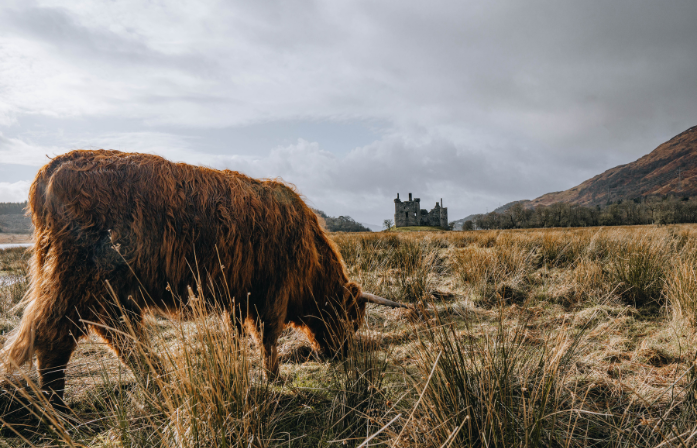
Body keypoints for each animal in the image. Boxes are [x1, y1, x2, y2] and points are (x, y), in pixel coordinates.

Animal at [1, 150, 402, 402]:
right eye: (351, 317)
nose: (344, 354)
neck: (312, 262)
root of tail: (53, 167)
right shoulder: (274, 289)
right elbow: (269, 337)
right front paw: (274, 378)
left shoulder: (240, 293)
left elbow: (239, 333)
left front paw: (240, 367)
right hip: (80, 281)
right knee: (56, 337)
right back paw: (60, 406)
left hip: (106, 292)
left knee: (119, 337)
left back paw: (158, 384)